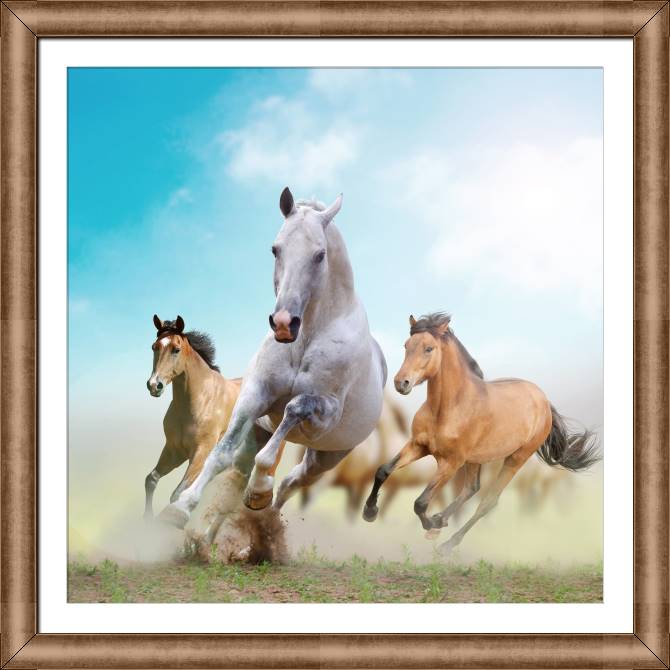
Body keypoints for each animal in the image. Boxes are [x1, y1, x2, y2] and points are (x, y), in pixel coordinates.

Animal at [144, 314, 284, 519]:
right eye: (154, 347)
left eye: (176, 349)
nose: (155, 385)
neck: (200, 400)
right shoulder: (174, 450)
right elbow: (152, 479)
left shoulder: (201, 452)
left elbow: (177, 493)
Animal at [159, 188, 386, 534]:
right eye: (275, 249)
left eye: (320, 255)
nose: (283, 323)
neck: (305, 339)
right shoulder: (255, 395)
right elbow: (221, 454)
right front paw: (181, 508)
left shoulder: (324, 413)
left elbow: (292, 411)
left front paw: (259, 490)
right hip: (260, 433)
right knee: (242, 476)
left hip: (325, 457)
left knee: (291, 482)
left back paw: (262, 512)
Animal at [362, 312, 600, 554]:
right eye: (406, 345)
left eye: (429, 348)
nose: (401, 383)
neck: (448, 408)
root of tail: (543, 401)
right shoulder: (418, 446)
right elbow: (383, 470)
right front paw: (370, 512)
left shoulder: (451, 462)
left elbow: (420, 502)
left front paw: (431, 523)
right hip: (476, 459)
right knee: (472, 488)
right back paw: (441, 522)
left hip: (515, 459)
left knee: (488, 502)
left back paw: (446, 543)